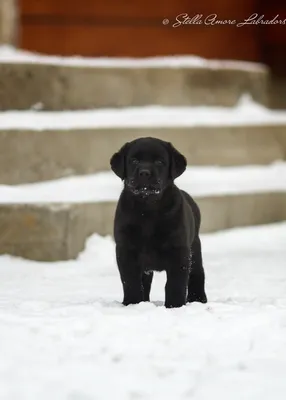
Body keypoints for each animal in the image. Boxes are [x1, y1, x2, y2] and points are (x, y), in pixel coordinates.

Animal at [110, 136, 207, 308]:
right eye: (134, 160)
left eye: (160, 162)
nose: (144, 173)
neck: (147, 208)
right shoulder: (126, 250)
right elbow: (130, 281)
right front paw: (132, 303)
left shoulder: (179, 251)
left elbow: (175, 283)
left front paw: (175, 305)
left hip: (195, 248)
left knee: (197, 274)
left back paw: (198, 299)